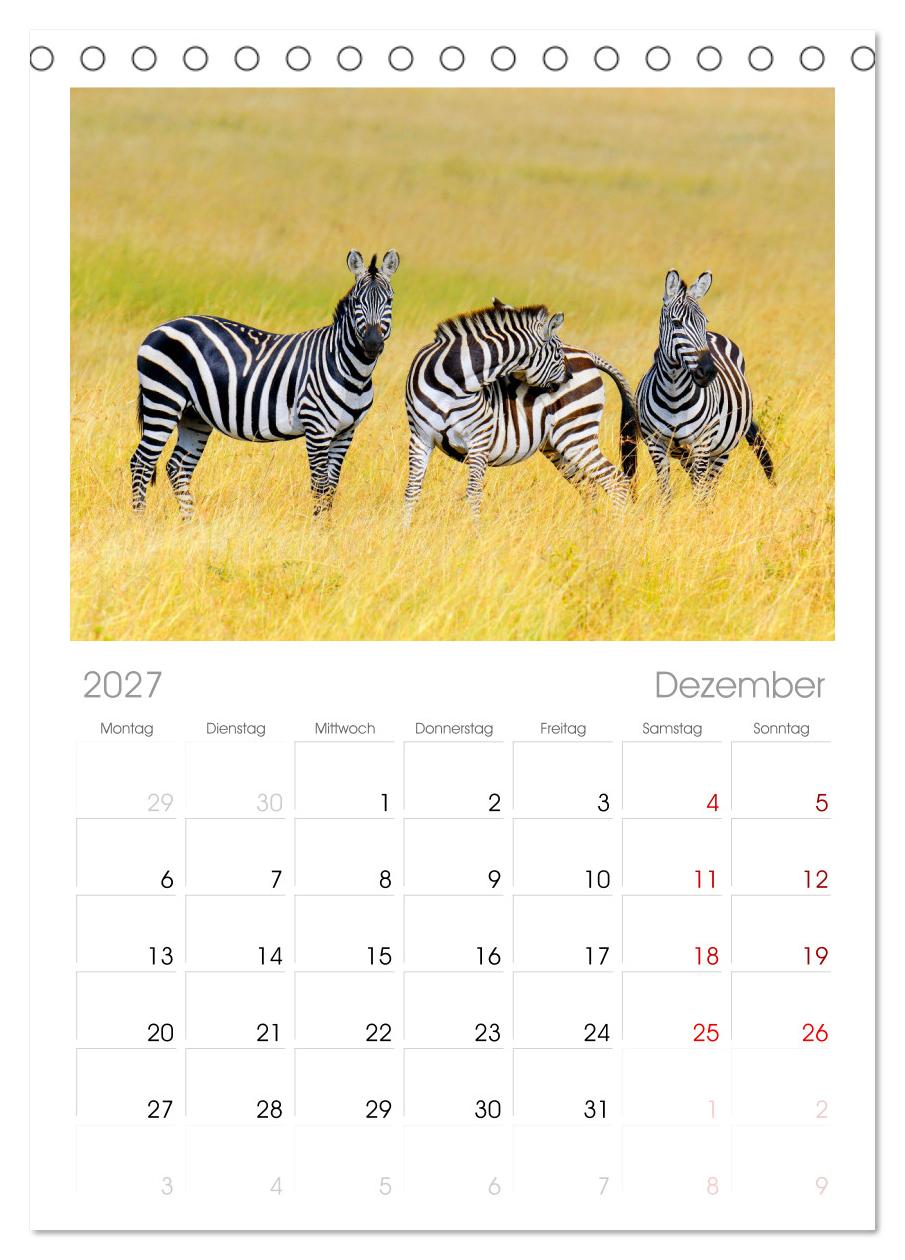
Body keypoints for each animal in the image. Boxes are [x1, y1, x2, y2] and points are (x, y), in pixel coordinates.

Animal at [131, 248, 400, 519]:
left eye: (389, 301)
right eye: (357, 302)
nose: (373, 344)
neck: (350, 370)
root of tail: (161, 327)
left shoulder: (346, 432)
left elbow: (331, 486)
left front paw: (327, 525)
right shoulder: (317, 428)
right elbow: (320, 485)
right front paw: (317, 526)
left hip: (194, 416)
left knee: (177, 467)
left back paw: (190, 522)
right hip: (163, 401)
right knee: (142, 462)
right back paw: (140, 519)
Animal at [404, 299, 611, 519]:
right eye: (557, 353)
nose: (569, 376)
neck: (452, 382)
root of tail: (587, 355)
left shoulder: (479, 439)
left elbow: (473, 494)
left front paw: (475, 529)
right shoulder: (420, 437)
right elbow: (412, 491)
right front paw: (405, 527)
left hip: (576, 433)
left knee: (613, 479)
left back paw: (616, 521)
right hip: (559, 446)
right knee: (589, 486)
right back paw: (591, 523)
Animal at [625, 270, 773, 503]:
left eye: (705, 321)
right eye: (676, 323)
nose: (709, 371)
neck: (674, 395)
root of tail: (715, 335)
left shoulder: (702, 443)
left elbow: (699, 493)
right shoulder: (656, 444)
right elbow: (665, 493)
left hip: (721, 450)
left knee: (709, 486)